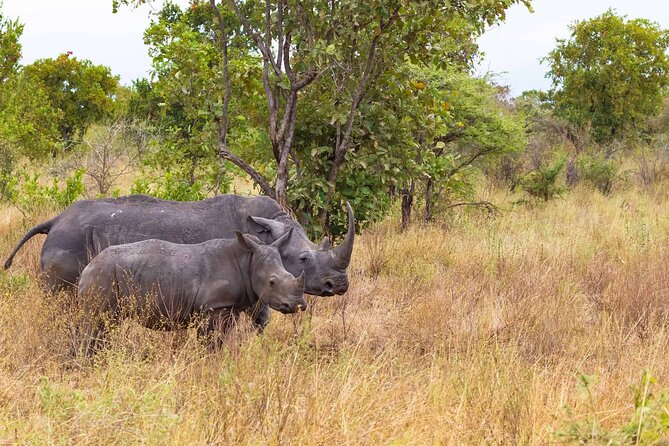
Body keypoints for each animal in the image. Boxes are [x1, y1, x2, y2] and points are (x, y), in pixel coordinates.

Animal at [4, 194, 354, 328]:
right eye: (303, 258)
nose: (338, 285)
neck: (266, 232)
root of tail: (55, 220)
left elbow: (261, 319)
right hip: (71, 241)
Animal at [76, 229, 307, 353]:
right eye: (272, 282)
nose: (299, 305)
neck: (247, 262)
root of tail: (88, 267)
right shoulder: (213, 308)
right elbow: (211, 343)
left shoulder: (230, 307)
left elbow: (219, 340)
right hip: (103, 276)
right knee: (97, 321)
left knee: (106, 324)